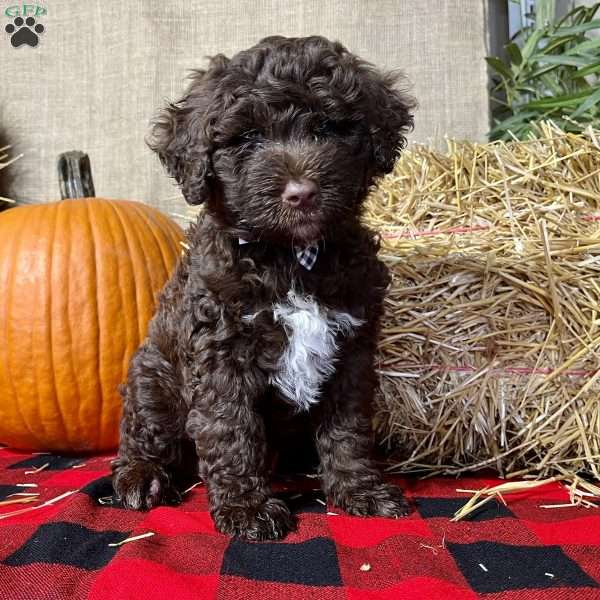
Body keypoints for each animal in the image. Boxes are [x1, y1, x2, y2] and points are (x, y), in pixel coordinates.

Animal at [113, 35, 418, 540]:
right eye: (248, 139)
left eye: (328, 127)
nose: (301, 193)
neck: (289, 256)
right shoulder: (221, 353)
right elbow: (231, 430)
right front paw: (247, 509)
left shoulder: (352, 350)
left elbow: (348, 429)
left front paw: (360, 490)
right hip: (153, 377)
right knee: (146, 432)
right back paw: (142, 476)